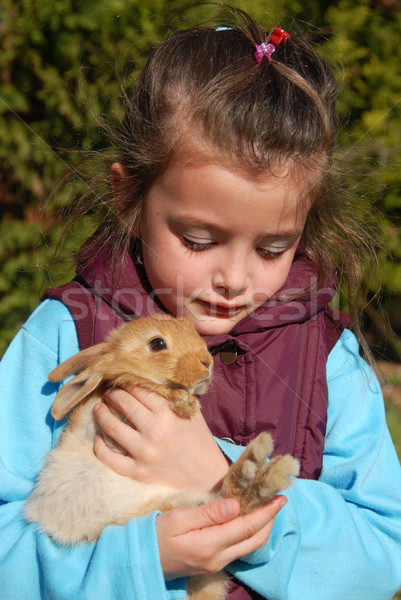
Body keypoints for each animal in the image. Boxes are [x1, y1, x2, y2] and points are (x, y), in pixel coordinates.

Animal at [25, 316, 298, 596]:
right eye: (157, 344)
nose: (206, 362)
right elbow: (142, 383)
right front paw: (186, 403)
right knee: (231, 503)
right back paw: (260, 468)